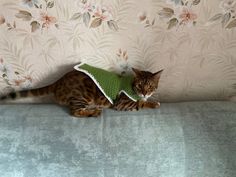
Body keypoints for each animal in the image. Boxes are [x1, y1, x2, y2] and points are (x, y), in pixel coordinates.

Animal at [0, 65, 163, 117]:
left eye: (150, 86)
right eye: (140, 85)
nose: (144, 93)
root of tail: (58, 81)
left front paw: (150, 99)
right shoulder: (121, 103)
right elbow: (140, 104)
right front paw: (152, 103)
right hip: (83, 95)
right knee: (75, 112)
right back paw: (94, 112)